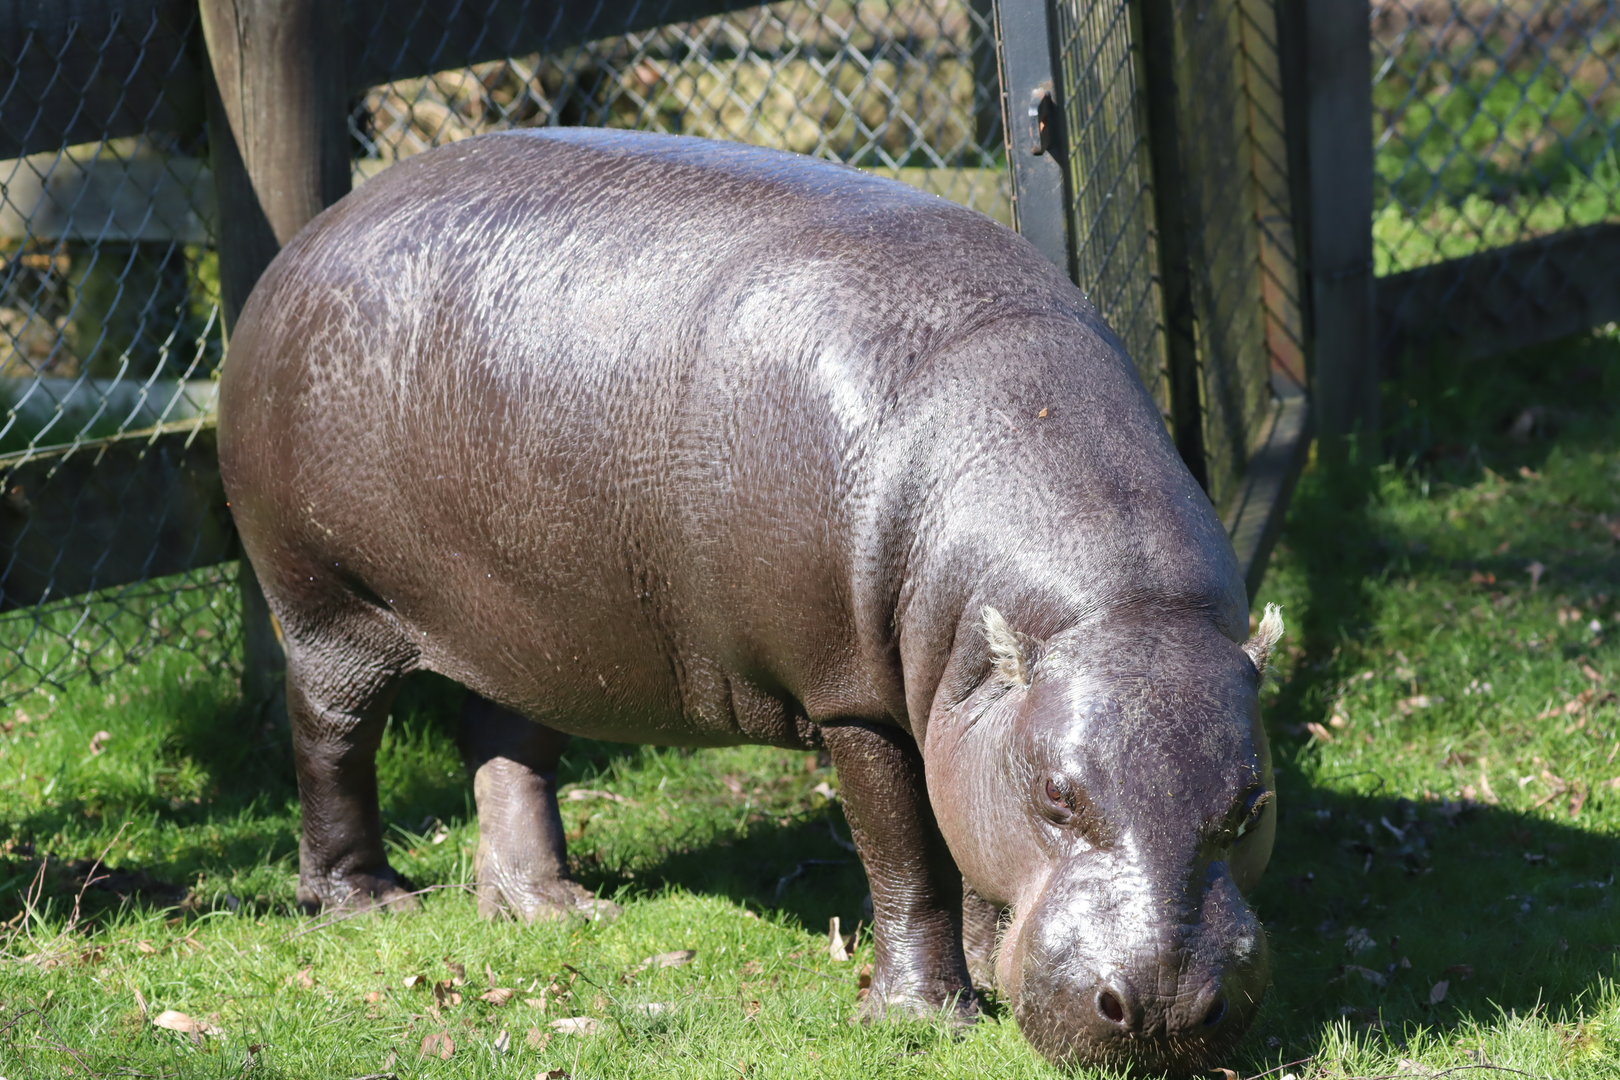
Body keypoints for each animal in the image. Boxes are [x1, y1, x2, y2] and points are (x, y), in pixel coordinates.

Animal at [217, 128, 1283, 1075]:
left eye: (1253, 803)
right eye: (1059, 797)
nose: (1162, 1008)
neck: (1119, 608)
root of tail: (309, 237)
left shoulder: (972, 714)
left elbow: (970, 833)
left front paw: (986, 973)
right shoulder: (858, 702)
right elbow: (909, 859)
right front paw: (925, 1018)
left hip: (526, 618)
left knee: (507, 746)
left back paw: (553, 908)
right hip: (327, 603)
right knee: (331, 740)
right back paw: (367, 903)